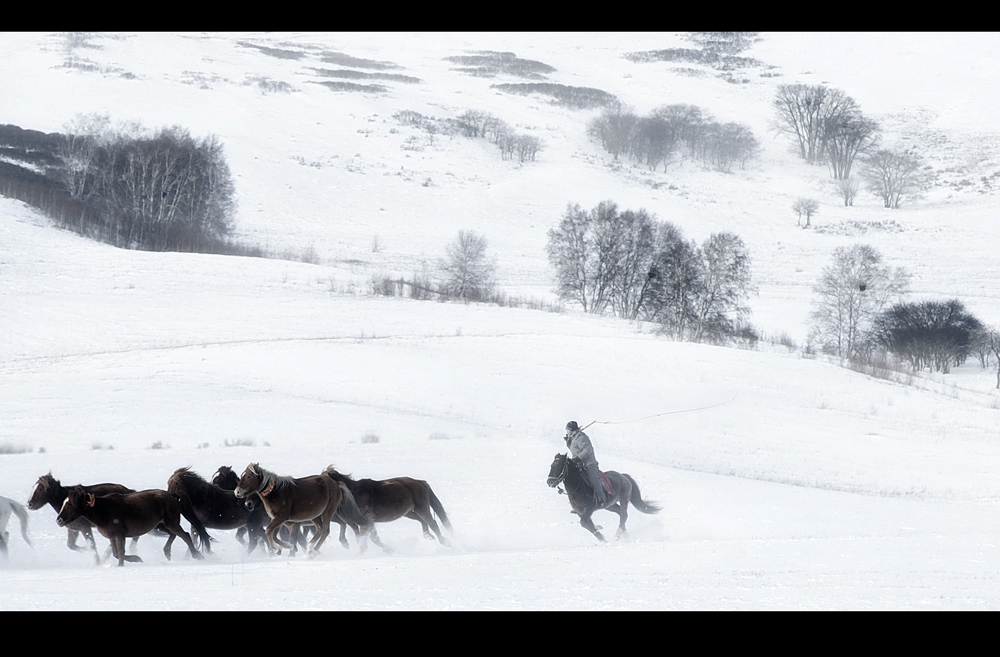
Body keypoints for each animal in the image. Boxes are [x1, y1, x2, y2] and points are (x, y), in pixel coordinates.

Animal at [55, 484, 213, 568]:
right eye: (64, 502)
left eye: (70, 503)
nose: (59, 520)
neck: (104, 510)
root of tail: (171, 495)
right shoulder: (112, 537)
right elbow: (115, 553)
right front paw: (136, 559)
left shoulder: (120, 535)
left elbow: (120, 552)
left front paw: (123, 564)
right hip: (160, 525)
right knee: (173, 535)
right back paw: (167, 552)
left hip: (171, 523)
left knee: (185, 535)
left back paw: (197, 555)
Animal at [233, 462, 372, 560]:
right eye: (242, 476)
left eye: (249, 476)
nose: (237, 492)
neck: (276, 493)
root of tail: (336, 484)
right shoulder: (281, 520)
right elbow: (274, 535)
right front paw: (287, 548)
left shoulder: (282, 518)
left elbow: (269, 532)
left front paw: (279, 550)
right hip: (314, 515)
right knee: (320, 529)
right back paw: (310, 548)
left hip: (327, 512)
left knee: (325, 531)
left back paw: (313, 552)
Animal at [322, 464, 452, 552]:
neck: (353, 493)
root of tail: (421, 482)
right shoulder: (368, 521)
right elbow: (373, 537)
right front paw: (387, 549)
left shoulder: (366, 520)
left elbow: (368, 537)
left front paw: (361, 552)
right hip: (409, 513)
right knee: (423, 521)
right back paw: (428, 536)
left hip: (422, 508)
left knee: (432, 522)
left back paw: (445, 542)